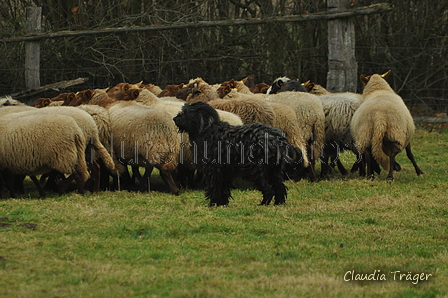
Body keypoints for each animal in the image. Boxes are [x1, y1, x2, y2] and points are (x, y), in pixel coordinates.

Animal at [172, 101, 300, 206]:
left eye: (185, 112)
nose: (174, 118)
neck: (207, 131)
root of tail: (277, 139)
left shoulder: (213, 170)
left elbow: (215, 187)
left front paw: (214, 203)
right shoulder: (225, 171)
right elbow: (223, 189)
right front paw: (222, 203)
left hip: (257, 170)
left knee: (268, 189)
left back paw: (263, 204)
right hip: (275, 170)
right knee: (280, 188)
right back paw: (279, 203)